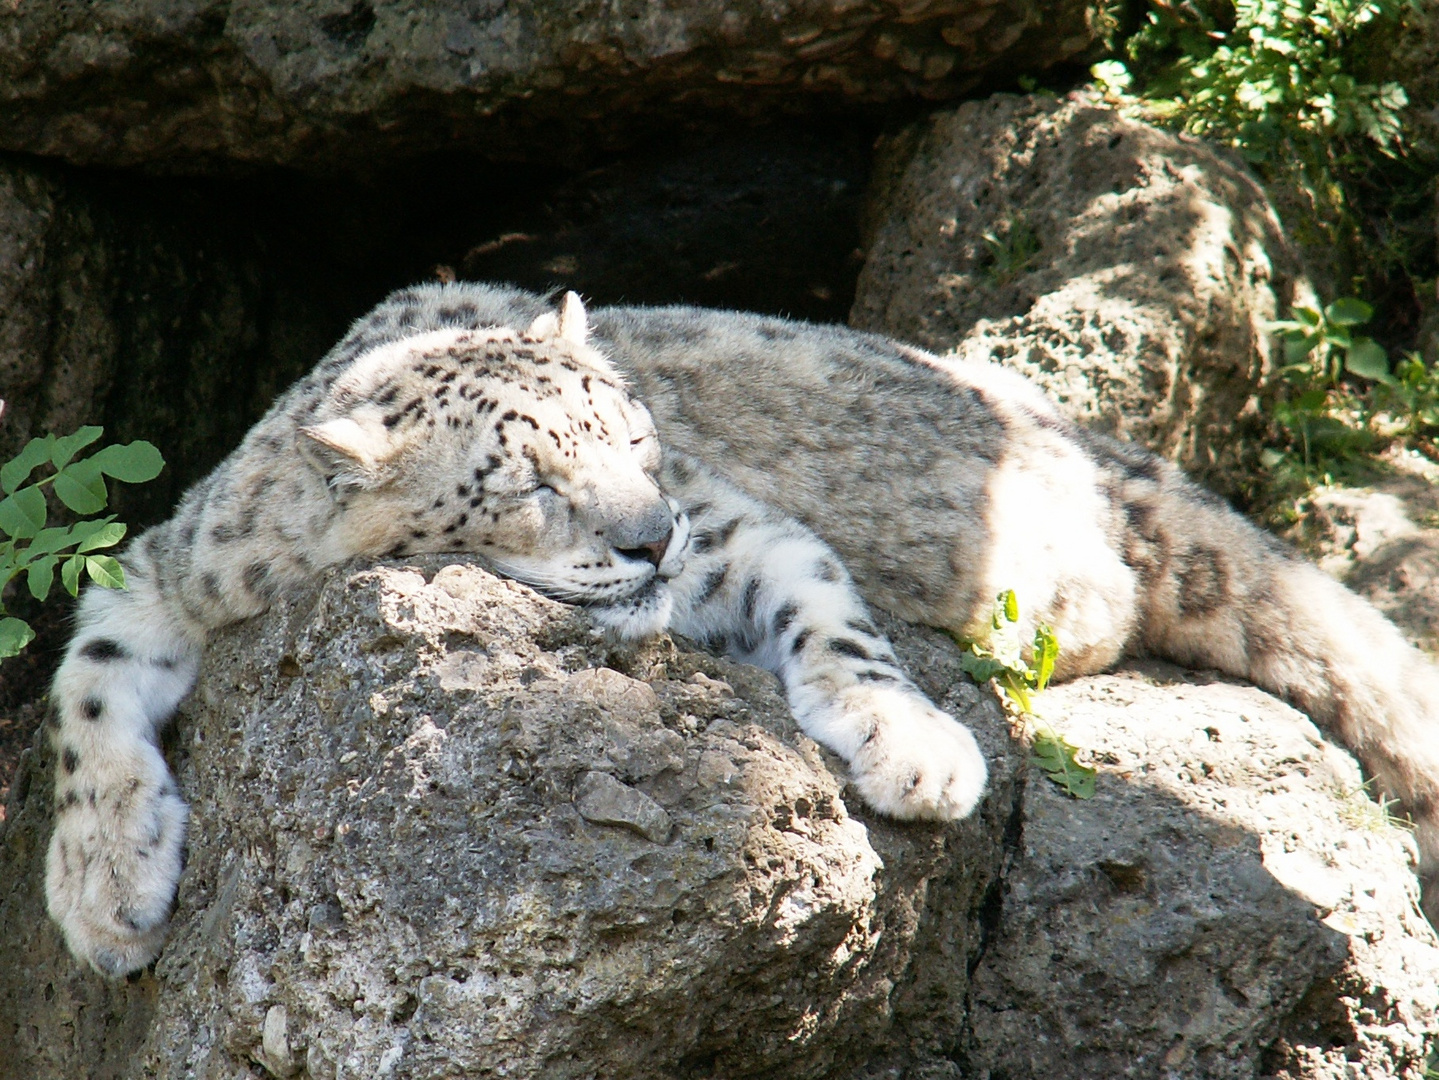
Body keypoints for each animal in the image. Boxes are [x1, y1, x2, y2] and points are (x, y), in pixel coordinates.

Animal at [44, 283, 1439, 977]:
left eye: (633, 433)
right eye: (525, 478)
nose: (652, 537)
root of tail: (1090, 441)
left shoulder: (740, 524)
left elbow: (832, 621)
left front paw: (914, 750)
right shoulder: (176, 562)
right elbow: (89, 683)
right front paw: (106, 887)